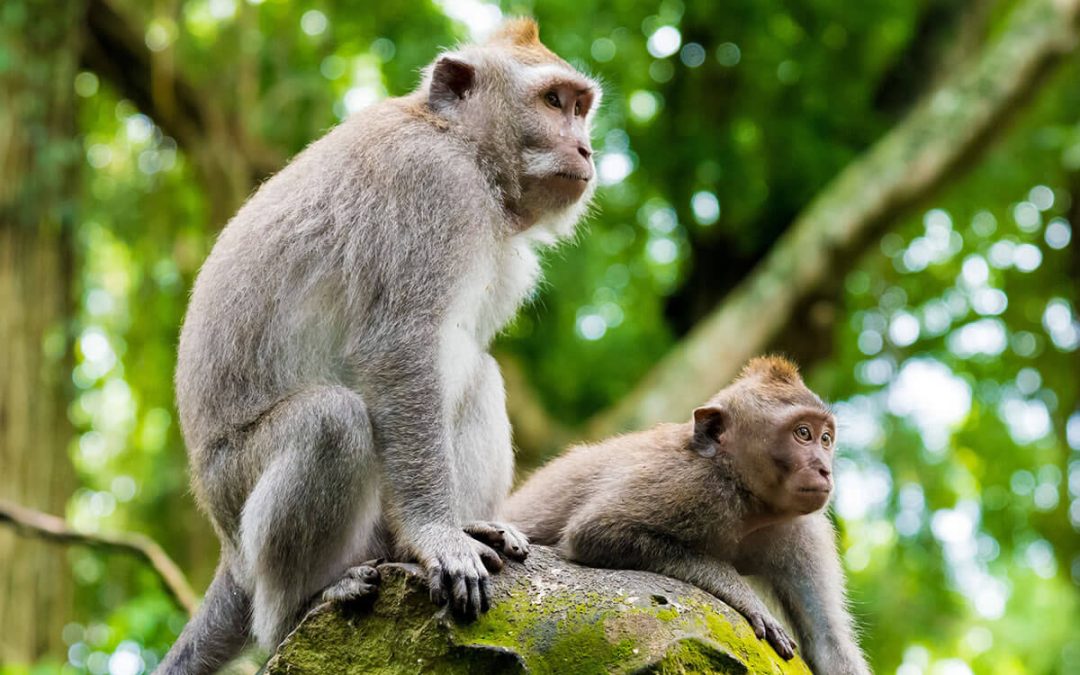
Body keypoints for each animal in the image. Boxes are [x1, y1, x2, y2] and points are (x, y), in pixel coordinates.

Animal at [159, 19, 601, 675]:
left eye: (580, 107)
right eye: (552, 101)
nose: (587, 149)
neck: (462, 146)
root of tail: (227, 552)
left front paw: (454, 530)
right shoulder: (430, 186)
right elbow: (399, 348)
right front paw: (437, 536)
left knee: (478, 375)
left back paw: (458, 529)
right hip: (237, 495)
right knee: (330, 421)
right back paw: (303, 603)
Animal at [503, 356, 871, 675]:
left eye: (826, 439)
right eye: (803, 433)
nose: (824, 470)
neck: (748, 502)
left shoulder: (803, 531)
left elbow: (828, 643)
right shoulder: (687, 482)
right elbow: (595, 531)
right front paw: (747, 599)